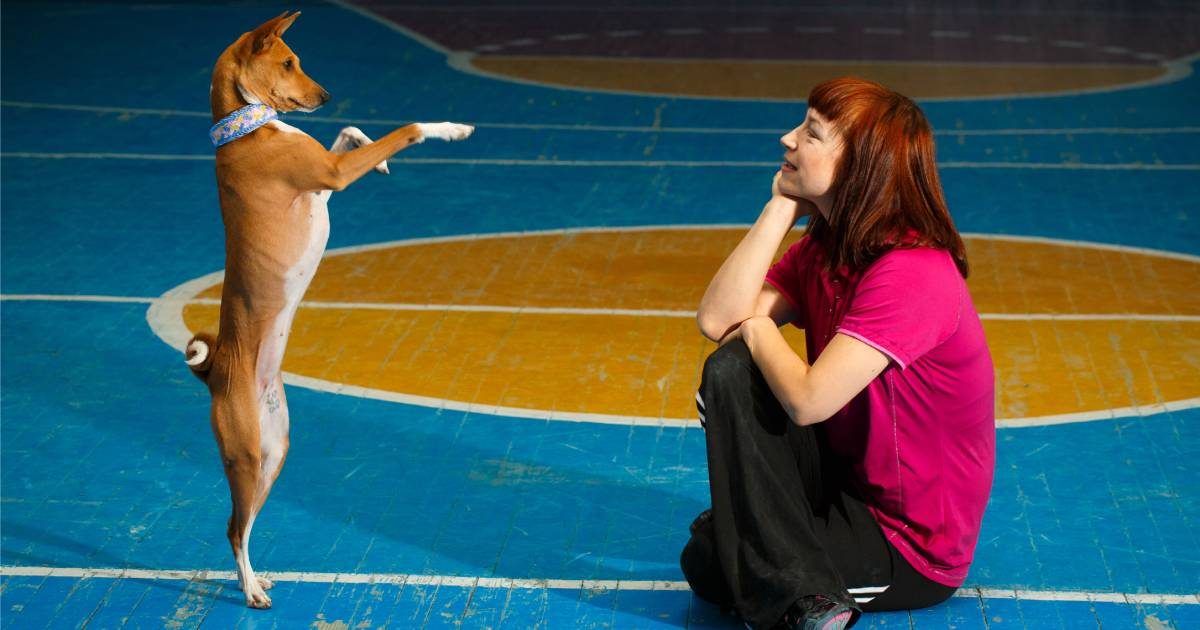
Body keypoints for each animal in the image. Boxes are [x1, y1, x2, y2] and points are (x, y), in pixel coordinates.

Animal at [182, 12, 472, 607]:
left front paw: (377, 157)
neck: (245, 129)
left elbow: (355, 134)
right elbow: (409, 128)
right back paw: (252, 590)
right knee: (232, 529)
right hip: (245, 456)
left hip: (273, 455)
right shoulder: (333, 174)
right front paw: (451, 128)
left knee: (242, 523)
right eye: (289, 62)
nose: (327, 95)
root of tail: (216, 373)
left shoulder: (328, 180)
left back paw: (255, 577)